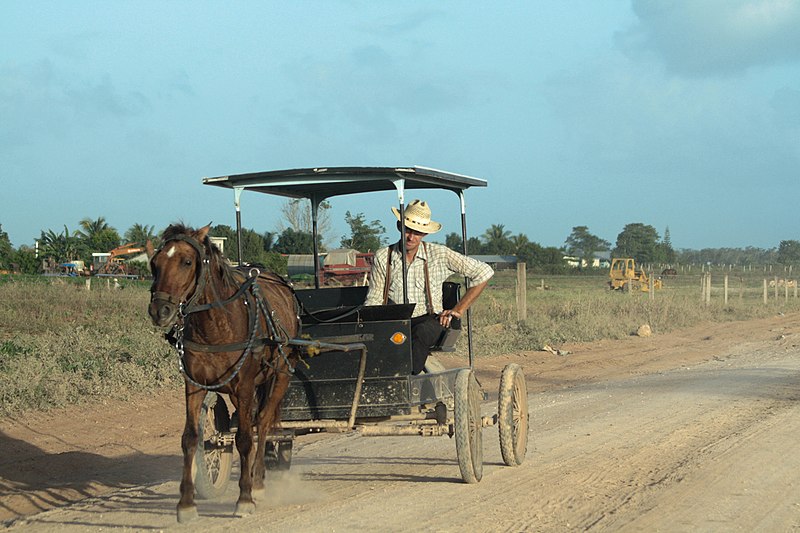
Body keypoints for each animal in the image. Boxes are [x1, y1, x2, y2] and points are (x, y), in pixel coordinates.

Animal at [147, 222, 300, 520]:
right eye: (154, 263)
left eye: (187, 261)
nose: (160, 310)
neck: (217, 326)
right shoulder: (194, 386)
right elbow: (190, 438)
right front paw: (186, 503)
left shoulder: (245, 385)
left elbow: (245, 438)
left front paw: (245, 497)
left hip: (280, 376)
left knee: (263, 423)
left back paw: (258, 481)